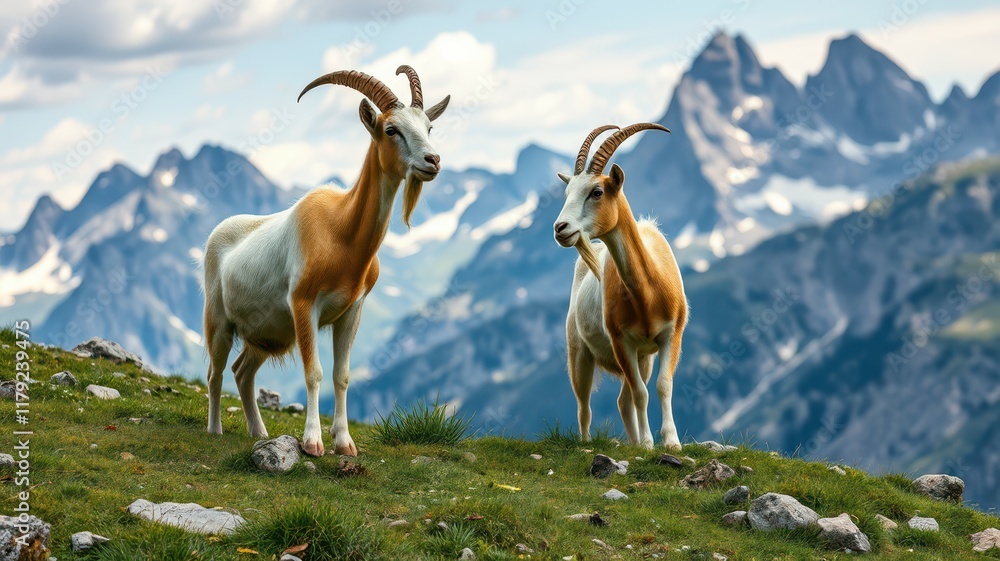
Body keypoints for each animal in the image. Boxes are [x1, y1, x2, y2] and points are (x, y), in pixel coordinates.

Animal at [203, 66, 450, 457]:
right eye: (391, 129)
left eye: (428, 127)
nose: (433, 161)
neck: (340, 232)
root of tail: (218, 233)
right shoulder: (304, 305)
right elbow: (315, 372)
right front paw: (312, 442)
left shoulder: (351, 310)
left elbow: (342, 375)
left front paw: (345, 442)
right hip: (219, 320)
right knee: (215, 372)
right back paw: (215, 430)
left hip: (267, 331)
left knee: (243, 371)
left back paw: (258, 431)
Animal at [553, 123, 687, 450]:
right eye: (567, 192)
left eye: (596, 191)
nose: (560, 229)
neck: (648, 292)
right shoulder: (621, 341)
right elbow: (642, 393)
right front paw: (649, 444)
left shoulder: (670, 335)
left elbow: (662, 386)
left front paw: (671, 442)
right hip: (580, 352)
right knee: (585, 403)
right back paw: (587, 442)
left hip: (643, 357)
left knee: (623, 400)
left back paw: (635, 440)